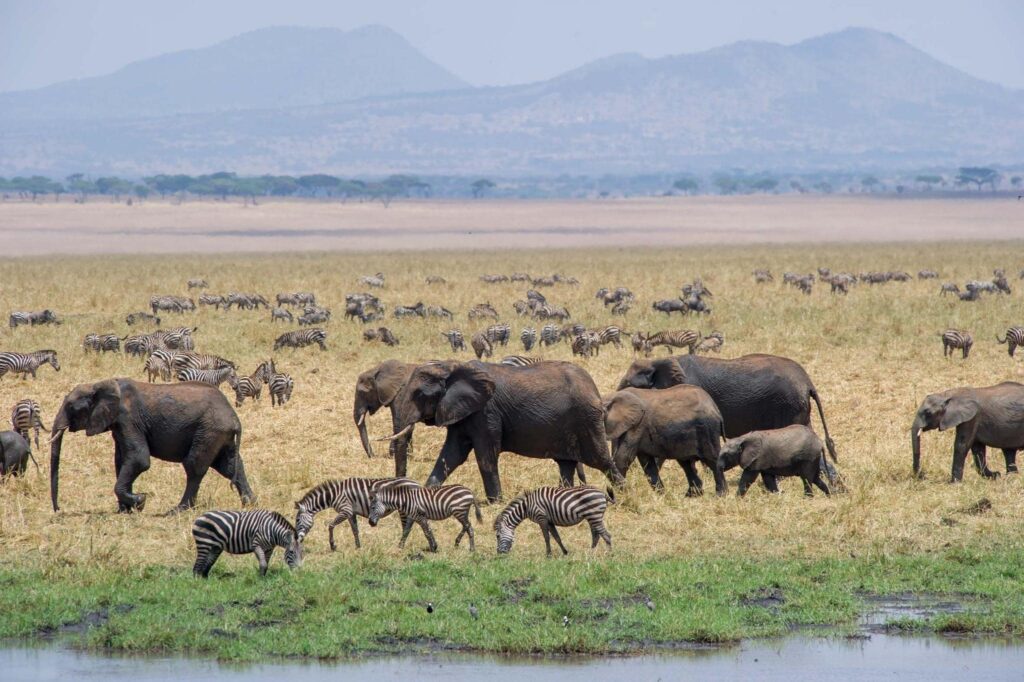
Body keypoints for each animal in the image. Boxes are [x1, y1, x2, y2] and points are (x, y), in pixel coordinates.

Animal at [50, 378, 255, 513]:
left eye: (70, 407)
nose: (58, 509)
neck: (99, 384)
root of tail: (234, 417)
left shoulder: (128, 419)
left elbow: (139, 460)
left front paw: (140, 501)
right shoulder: (118, 424)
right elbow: (121, 461)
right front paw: (125, 511)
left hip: (209, 430)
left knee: (194, 466)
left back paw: (177, 511)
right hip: (219, 434)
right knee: (229, 466)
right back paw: (250, 504)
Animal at [384, 360, 624, 502]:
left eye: (419, 394)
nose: (403, 488)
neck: (451, 366)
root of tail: (593, 387)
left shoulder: (486, 412)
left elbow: (485, 454)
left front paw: (496, 502)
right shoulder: (463, 411)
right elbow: (452, 454)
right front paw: (427, 493)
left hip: (587, 419)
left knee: (601, 460)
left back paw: (622, 495)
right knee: (566, 464)